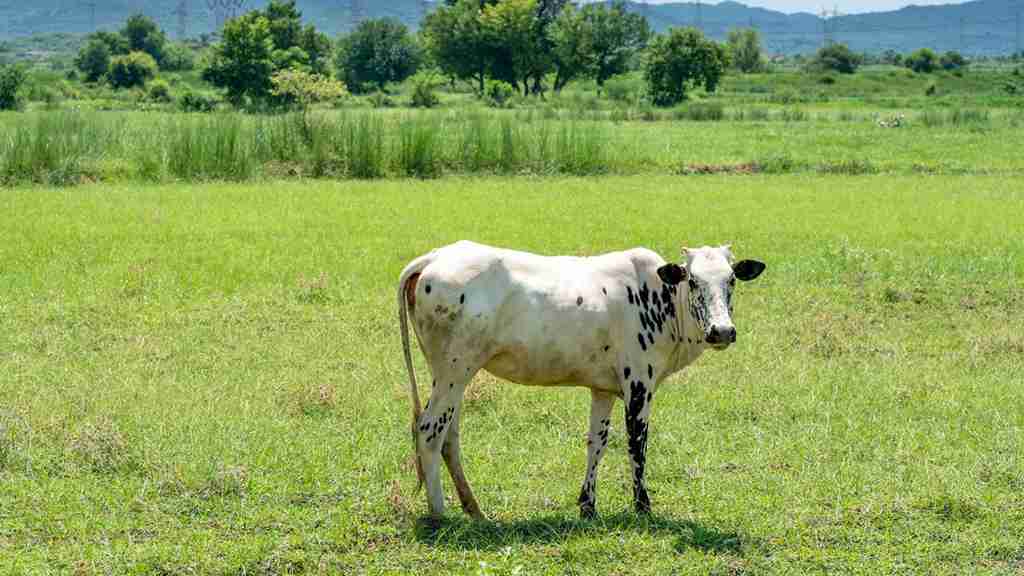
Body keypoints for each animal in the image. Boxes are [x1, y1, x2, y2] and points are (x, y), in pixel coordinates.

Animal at [397, 241, 765, 521]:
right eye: (693, 281)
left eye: (732, 280)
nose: (722, 331)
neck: (661, 299)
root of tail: (436, 256)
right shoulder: (639, 385)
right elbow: (637, 445)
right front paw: (642, 507)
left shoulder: (603, 389)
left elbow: (596, 443)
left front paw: (588, 506)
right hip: (454, 371)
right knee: (429, 430)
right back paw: (439, 513)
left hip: (452, 376)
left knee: (449, 436)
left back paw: (474, 510)